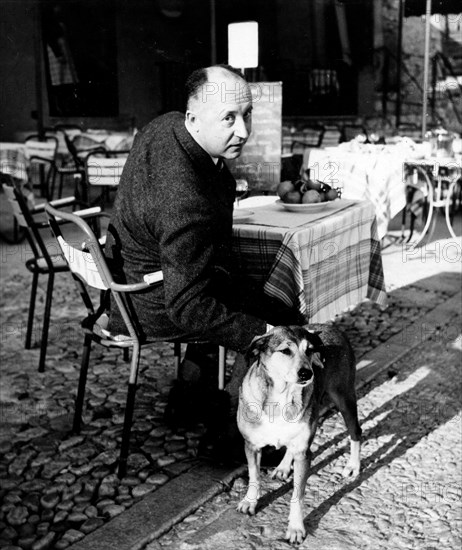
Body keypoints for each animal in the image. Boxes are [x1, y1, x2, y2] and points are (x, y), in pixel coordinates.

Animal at [238, 326, 360, 544]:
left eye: (310, 350)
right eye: (285, 351)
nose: (306, 373)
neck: (281, 398)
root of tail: (332, 326)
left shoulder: (304, 455)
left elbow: (298, 494)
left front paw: (295, 528)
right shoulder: (251, 445)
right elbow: (253, 476)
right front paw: (250, 501)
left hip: (344, 398)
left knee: (356, 432)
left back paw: (353, 465)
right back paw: (284, 466)